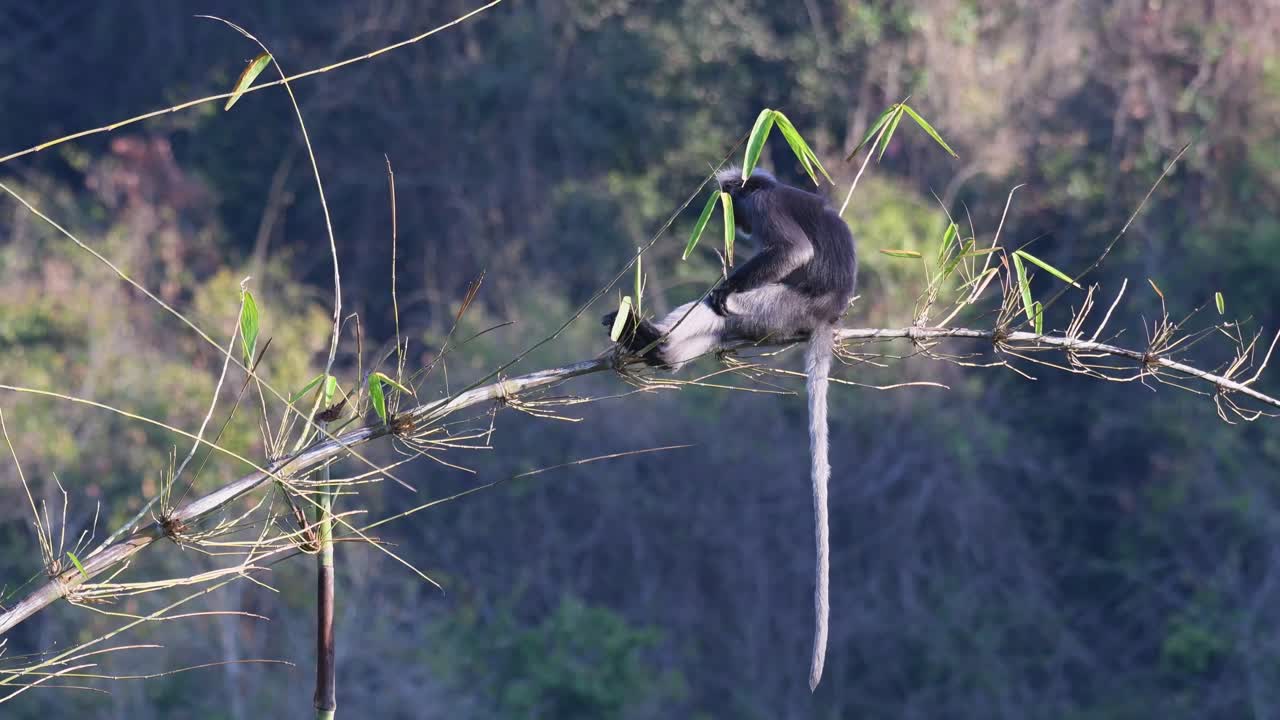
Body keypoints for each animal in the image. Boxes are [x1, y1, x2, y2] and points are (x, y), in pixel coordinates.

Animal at [604, 167, 857, 691]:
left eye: (738, 210)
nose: (735, 227)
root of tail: (826, 316)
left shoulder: (766, 208)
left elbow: (792, 254)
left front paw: (722, 285)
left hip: (778, 308)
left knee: (720, 306)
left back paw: (652, 334)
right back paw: (656, 348)